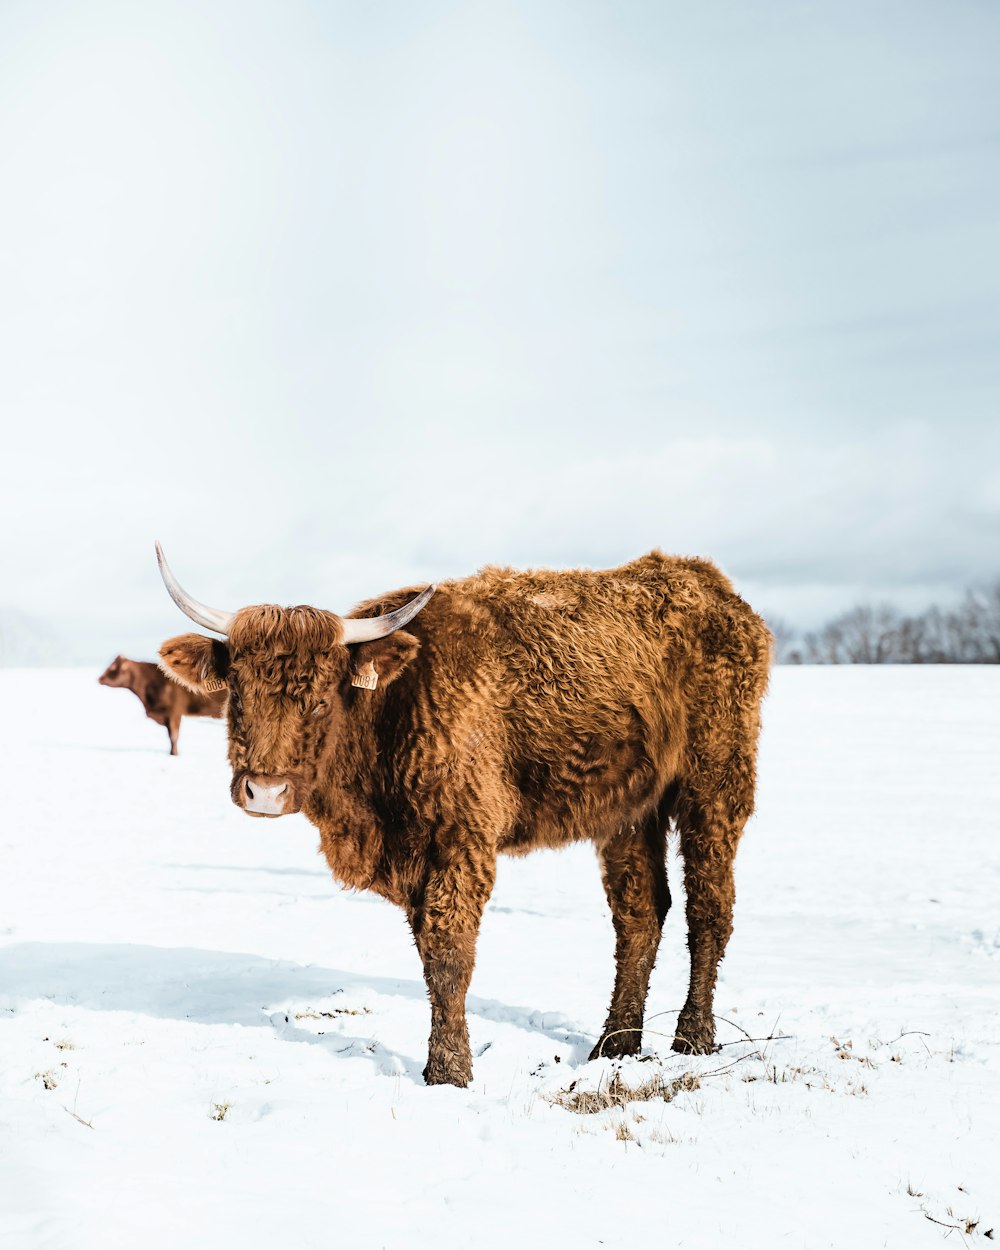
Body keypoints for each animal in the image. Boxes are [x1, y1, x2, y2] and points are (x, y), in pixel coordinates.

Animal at [154, 547, 775, 1085]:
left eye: (321, 699)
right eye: (237, 693)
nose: (264, 791)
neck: (395, 705)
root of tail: (713, 588)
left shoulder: (461, 841)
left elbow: (451, 953)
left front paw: (449, 1072)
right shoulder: (414, 857)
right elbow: (429, 955)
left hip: (714, 787)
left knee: (709, 907)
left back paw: (692, 1037)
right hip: (628, 812)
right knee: (641, 912)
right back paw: (615, 1045)